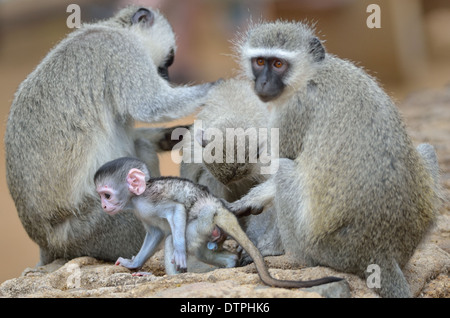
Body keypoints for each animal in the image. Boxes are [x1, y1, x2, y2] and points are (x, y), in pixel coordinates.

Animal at [3, 6, 214, 266]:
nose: (166, 75)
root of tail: (45, 243)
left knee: (140, 144)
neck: (112, 27)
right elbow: (152, 105)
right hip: (98, 226)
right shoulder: (123, 52)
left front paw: (174, 135)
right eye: (168, 61)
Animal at [93, 157, 342, 288]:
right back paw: (230, 261)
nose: (104, 206)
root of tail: (218, 207)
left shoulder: (151, 200)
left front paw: (179, 253)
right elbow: (155, 233)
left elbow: (176, 211)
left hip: (202, 221)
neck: (137, 197)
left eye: (107, 195)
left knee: (177, 237)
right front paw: (133, 264)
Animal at [229, 21, 442, 296]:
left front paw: (257, 216)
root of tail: (380, 251)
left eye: (278, 64)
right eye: (259, 62)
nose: (263, 83)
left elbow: (283, 166)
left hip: (326, 249)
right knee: (426, 150)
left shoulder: (293, 111)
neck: (310, 74)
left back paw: (287, 255)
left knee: (285, 171)